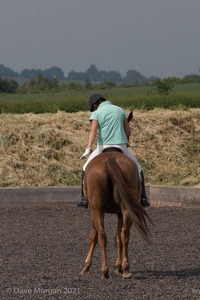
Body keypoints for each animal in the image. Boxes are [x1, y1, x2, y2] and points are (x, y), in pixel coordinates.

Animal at [80, 150, 152, 278]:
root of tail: (111, 159)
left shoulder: (95, 211)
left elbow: (93, 237)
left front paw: (86, 267)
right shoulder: (119, 213)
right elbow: (118, 238)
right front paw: (118, 267)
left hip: (97, 210)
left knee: (102, 236)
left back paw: (105, 271)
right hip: (127, 208)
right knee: (125, 234)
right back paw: (126, 268)